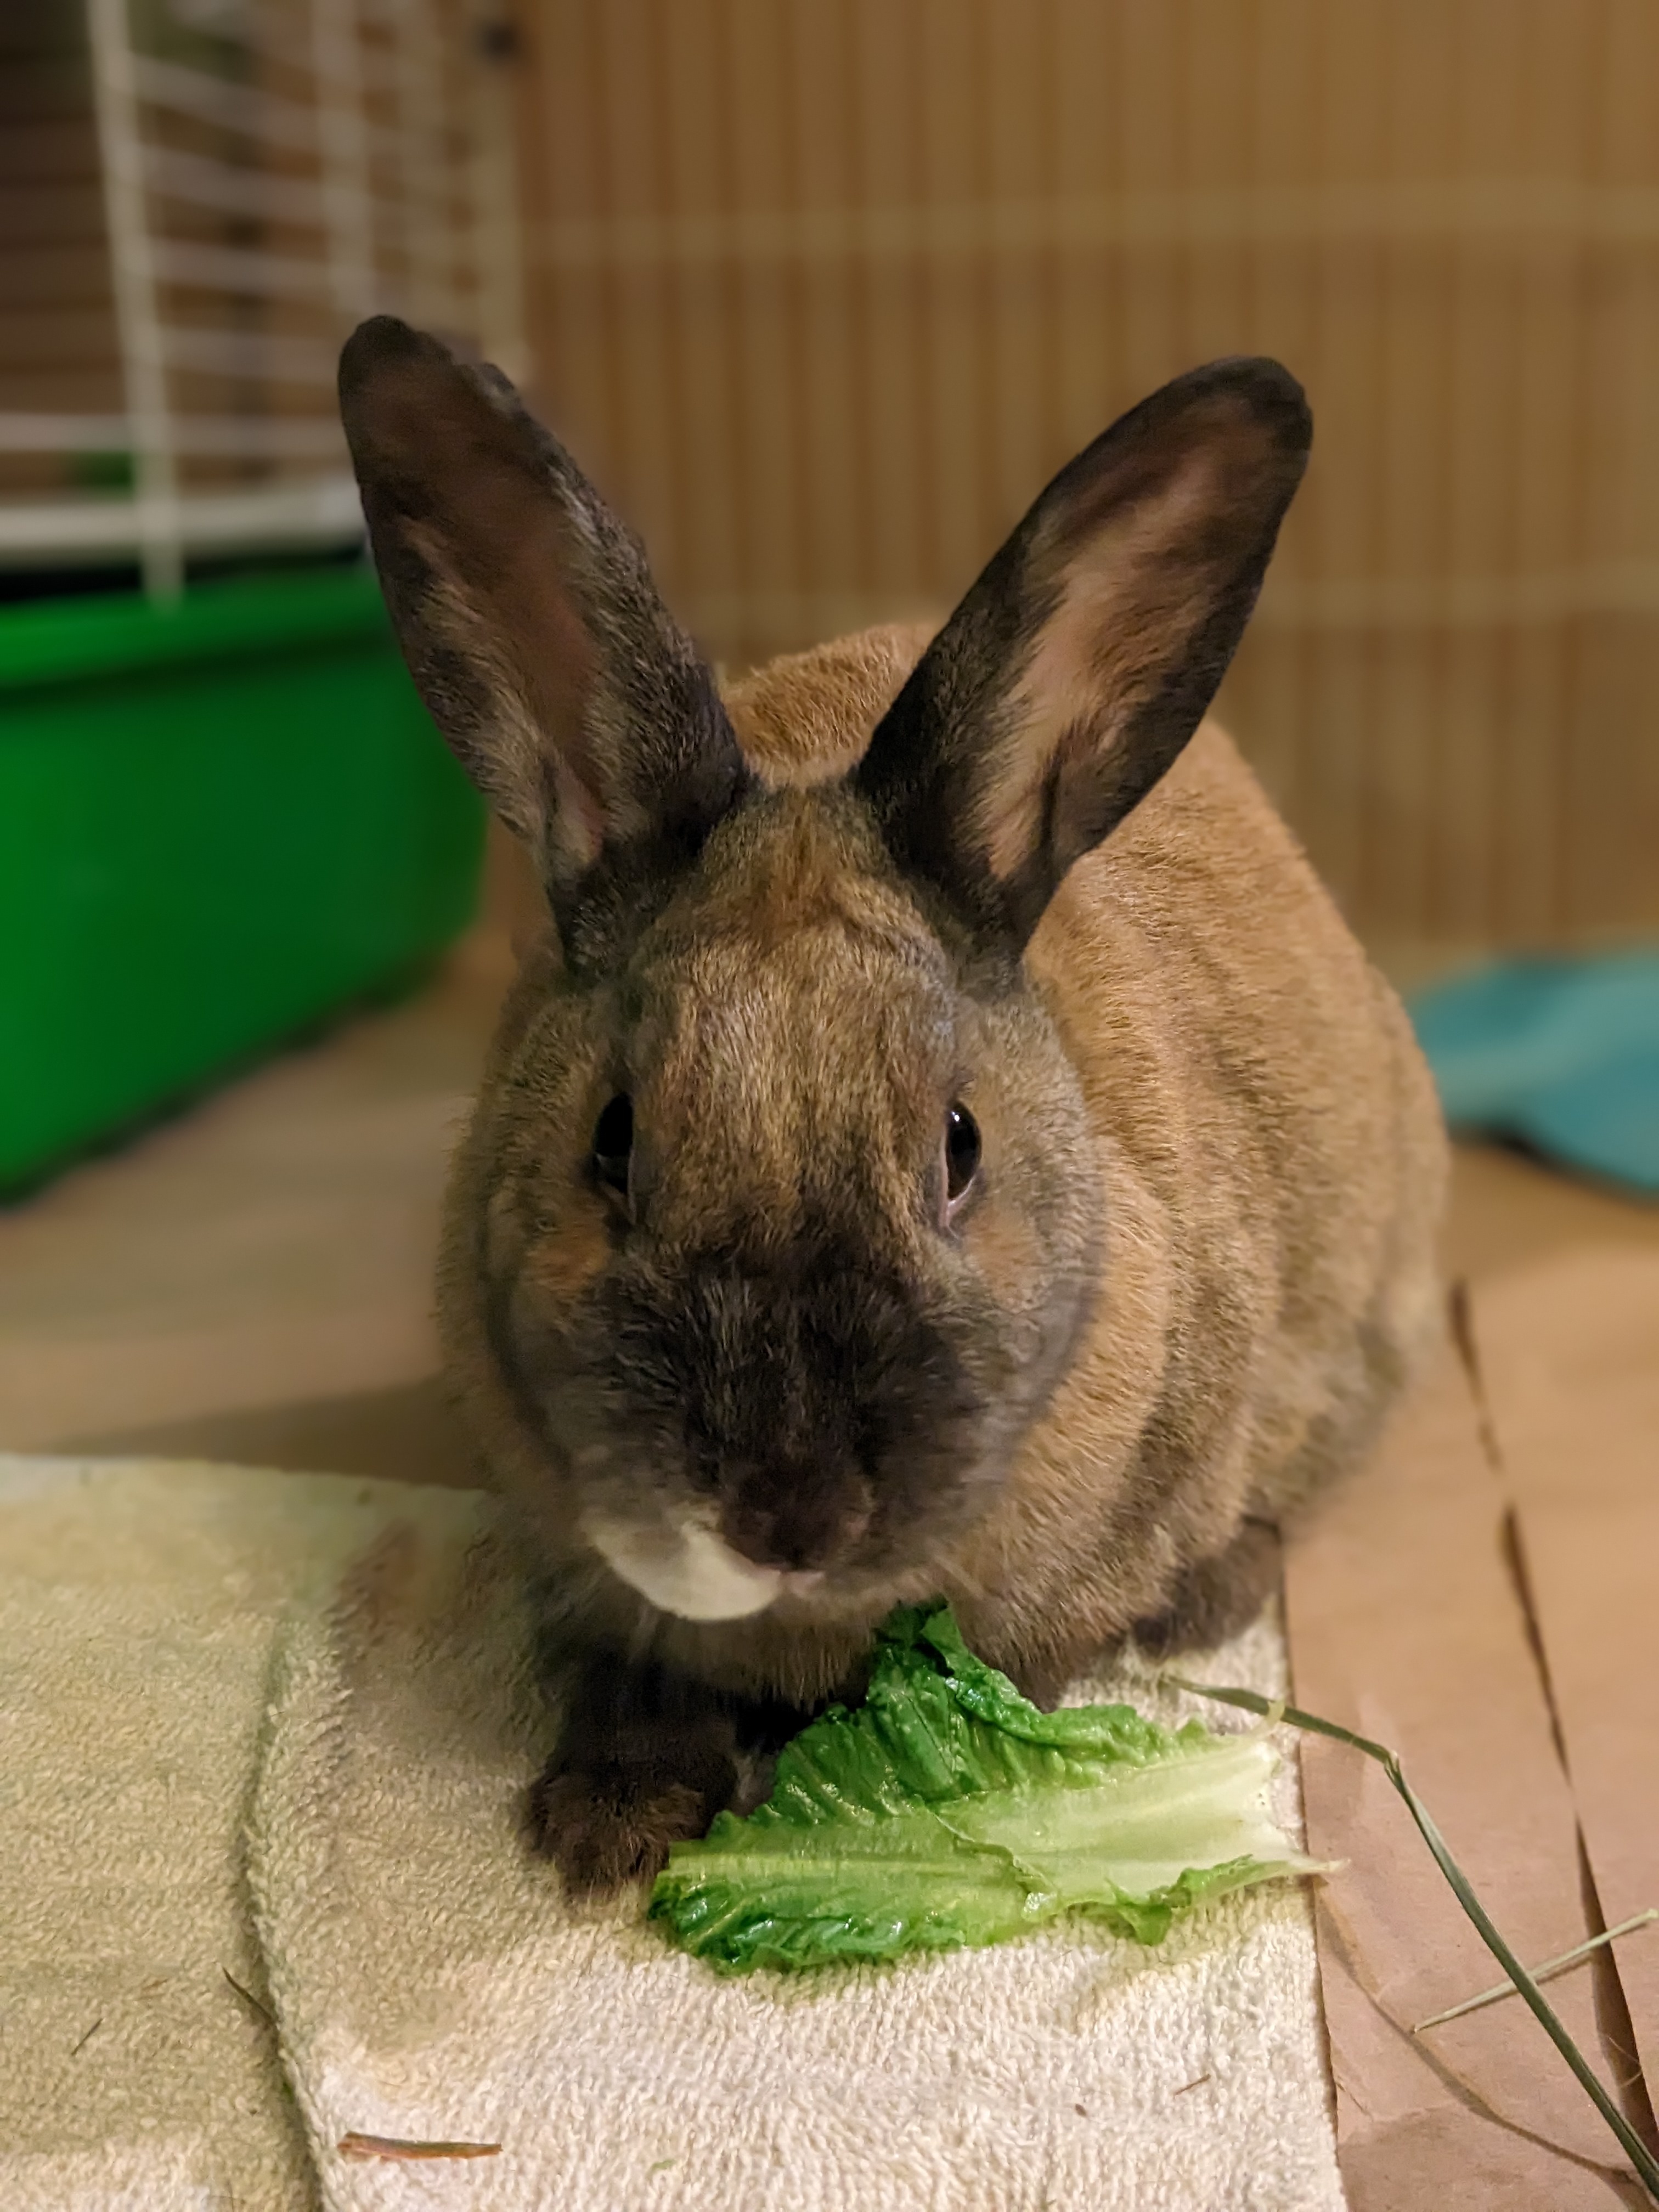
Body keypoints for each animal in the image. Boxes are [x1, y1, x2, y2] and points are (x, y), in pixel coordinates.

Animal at [338, 317, 1448, 1896]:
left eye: (958, 1147)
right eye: (613, 1140)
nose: (784, 1514)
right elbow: (633, 1678)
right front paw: (611, 1828)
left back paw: (1203, 1605)